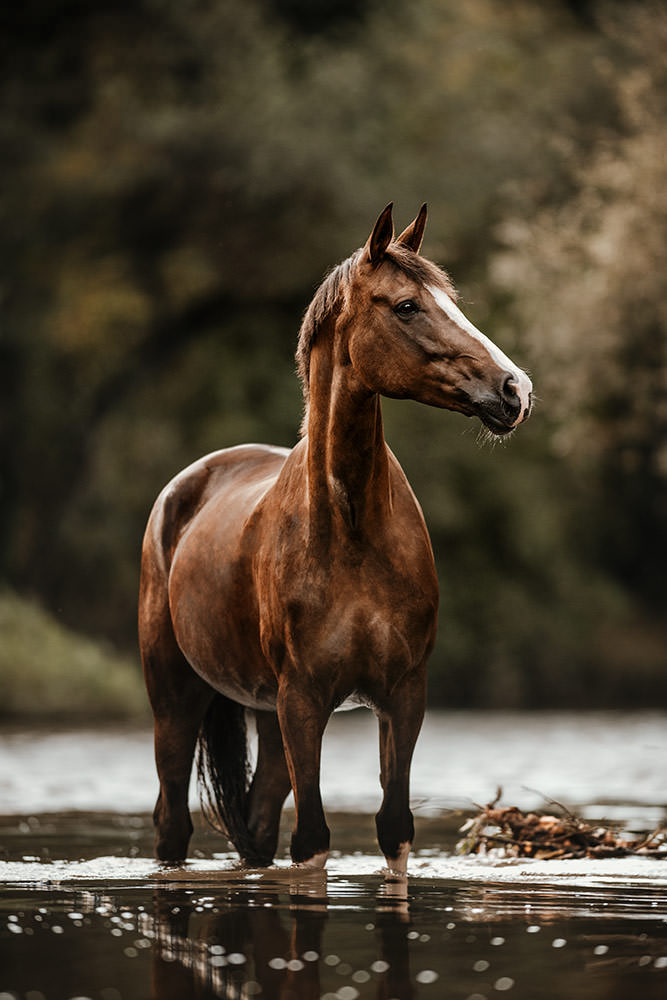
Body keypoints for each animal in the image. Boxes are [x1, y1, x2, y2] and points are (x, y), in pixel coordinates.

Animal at [138, 203, 533, 873]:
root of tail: (183, 490)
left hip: (268, 715)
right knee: (173, 825)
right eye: (407, 306)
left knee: (257, 824)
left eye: (452, 302)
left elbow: (393, 827)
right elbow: (313, 840)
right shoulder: (304, 699)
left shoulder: (402, 695)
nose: (516, 390)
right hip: (178, 698)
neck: (352, 531)